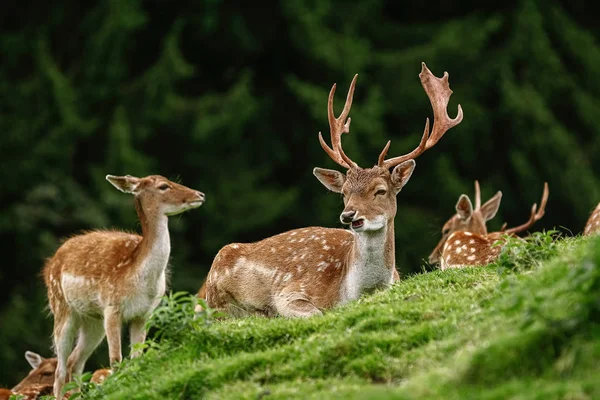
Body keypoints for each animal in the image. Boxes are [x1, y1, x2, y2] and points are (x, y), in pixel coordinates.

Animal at [42, 173, 205, 398]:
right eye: (164, 186)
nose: (200, 194)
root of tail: (49, 264)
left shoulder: (144, 313)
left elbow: (137, 357)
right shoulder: (112, 307)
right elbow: (116, 360)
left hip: (93, 320)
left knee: (76, 361)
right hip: (61, 308)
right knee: (60, 368)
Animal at [203, 62, 464, 318]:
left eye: (380, 191)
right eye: (344, 193)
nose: (348, 215)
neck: (351, 291)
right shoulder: (289, 292)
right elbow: (317, 313)